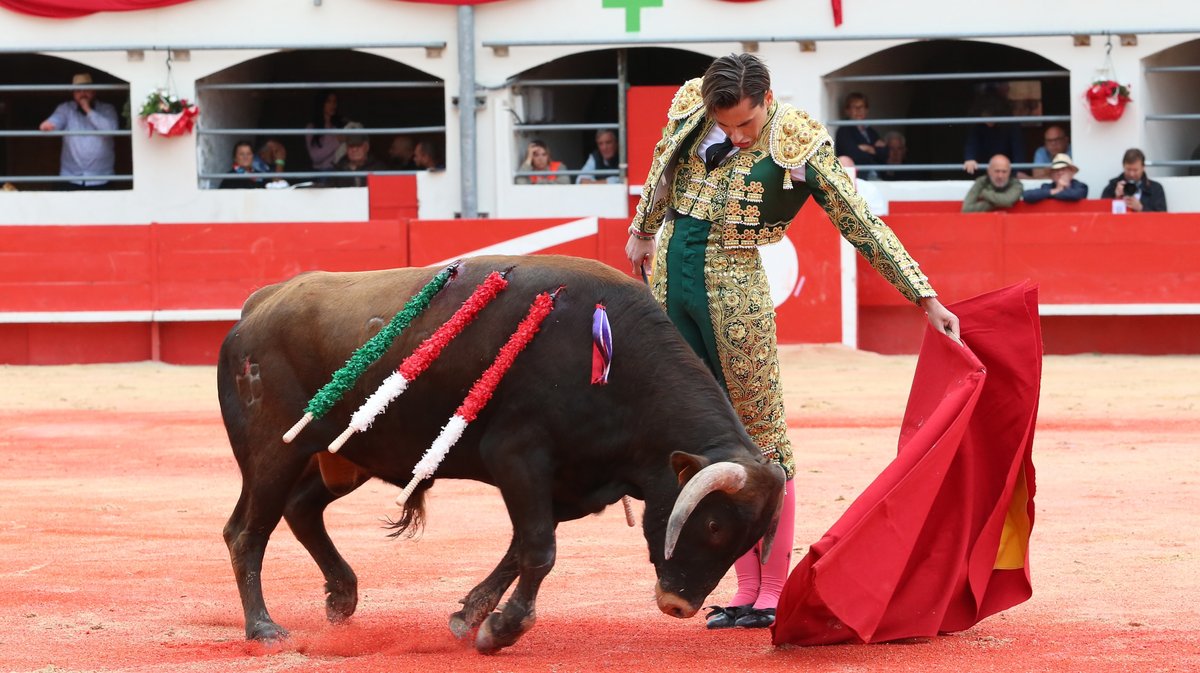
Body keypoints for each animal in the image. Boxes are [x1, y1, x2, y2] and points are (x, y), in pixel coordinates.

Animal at [220, 253, 787, 652]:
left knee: (301, 509)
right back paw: (264, 628)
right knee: (246, 531)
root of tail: (258, 305)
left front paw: (469, 615)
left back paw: (341, 596)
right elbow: (538, 549)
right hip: (274, 452)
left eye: (747, 540)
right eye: (713, 524)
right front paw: (502, 630)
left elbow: (520, 549)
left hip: (347, 456)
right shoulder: (518, 458)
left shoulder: (568, 485)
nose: (679, 606)